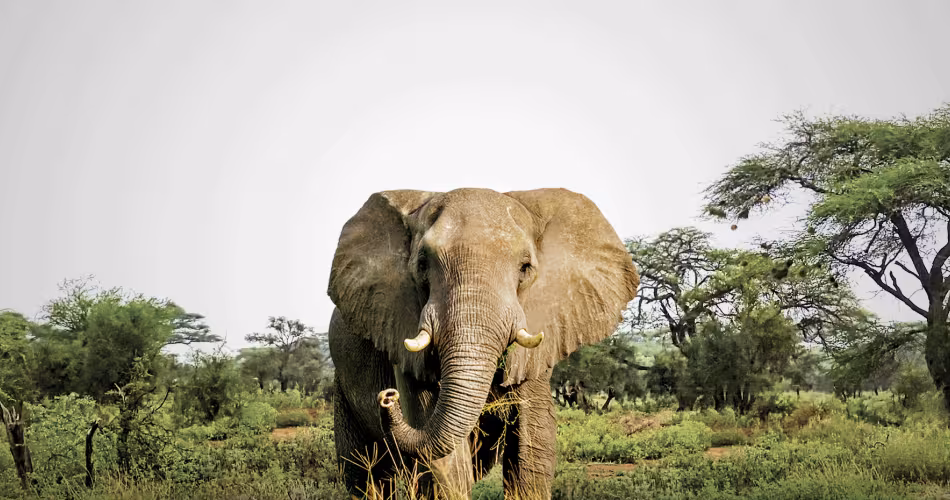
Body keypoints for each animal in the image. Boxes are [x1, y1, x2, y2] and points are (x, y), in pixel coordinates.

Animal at [327, 188, 639, 499]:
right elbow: (442, 458)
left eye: (525, 268)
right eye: (422, 265)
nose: (387, 397)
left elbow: (533, 441)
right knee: (367, 474)